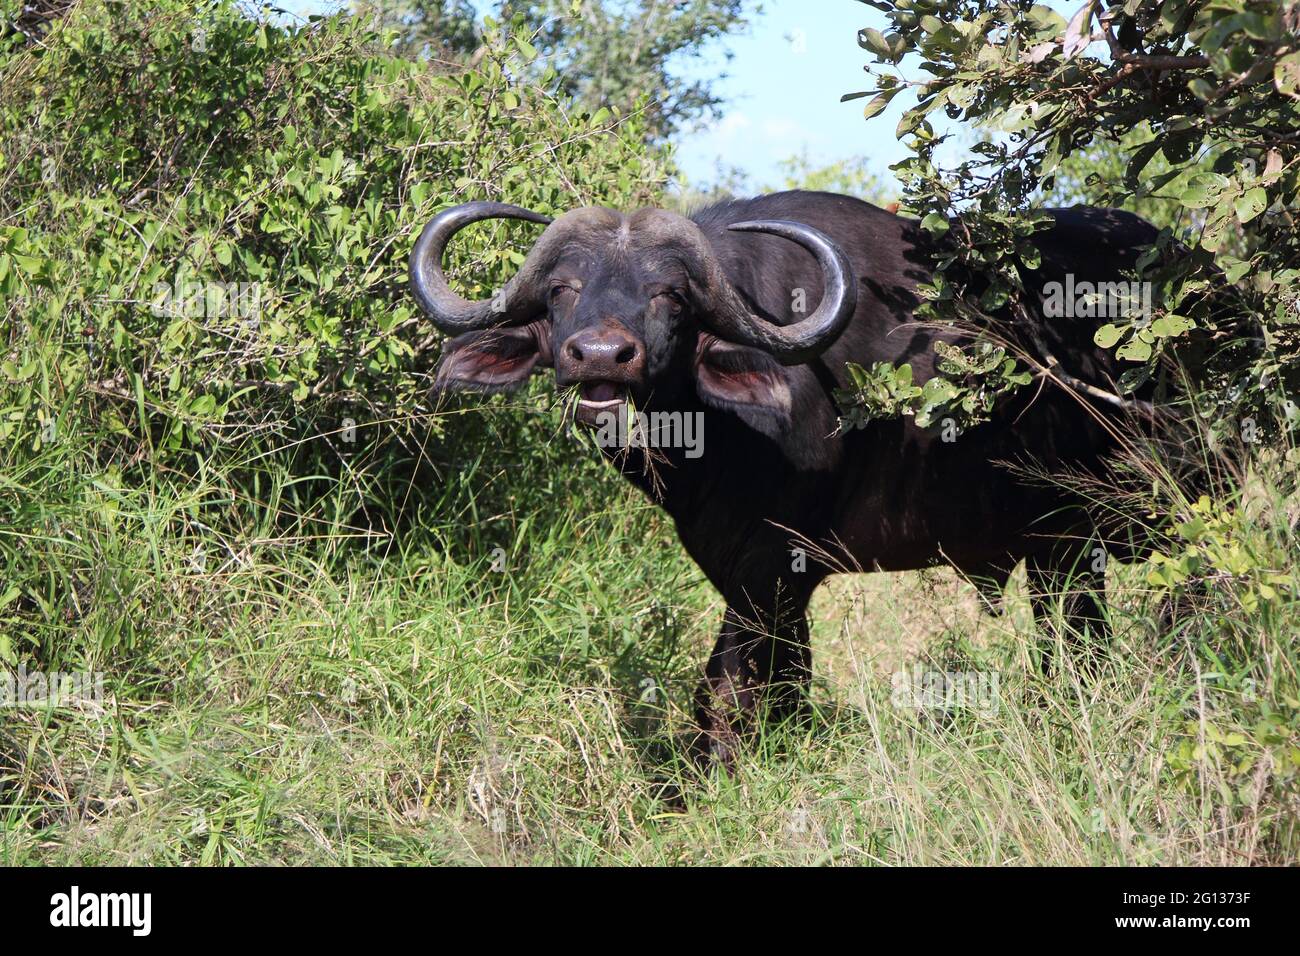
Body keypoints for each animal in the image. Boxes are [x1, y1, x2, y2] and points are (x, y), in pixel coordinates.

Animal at [410, 191, 1180, 767]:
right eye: (562, 289)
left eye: (671, 296)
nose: (601, 354)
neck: (716, 436)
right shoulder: (748, 567)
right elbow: (781, 678)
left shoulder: (771, 566)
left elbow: (728, 685)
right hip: (1059, 549)